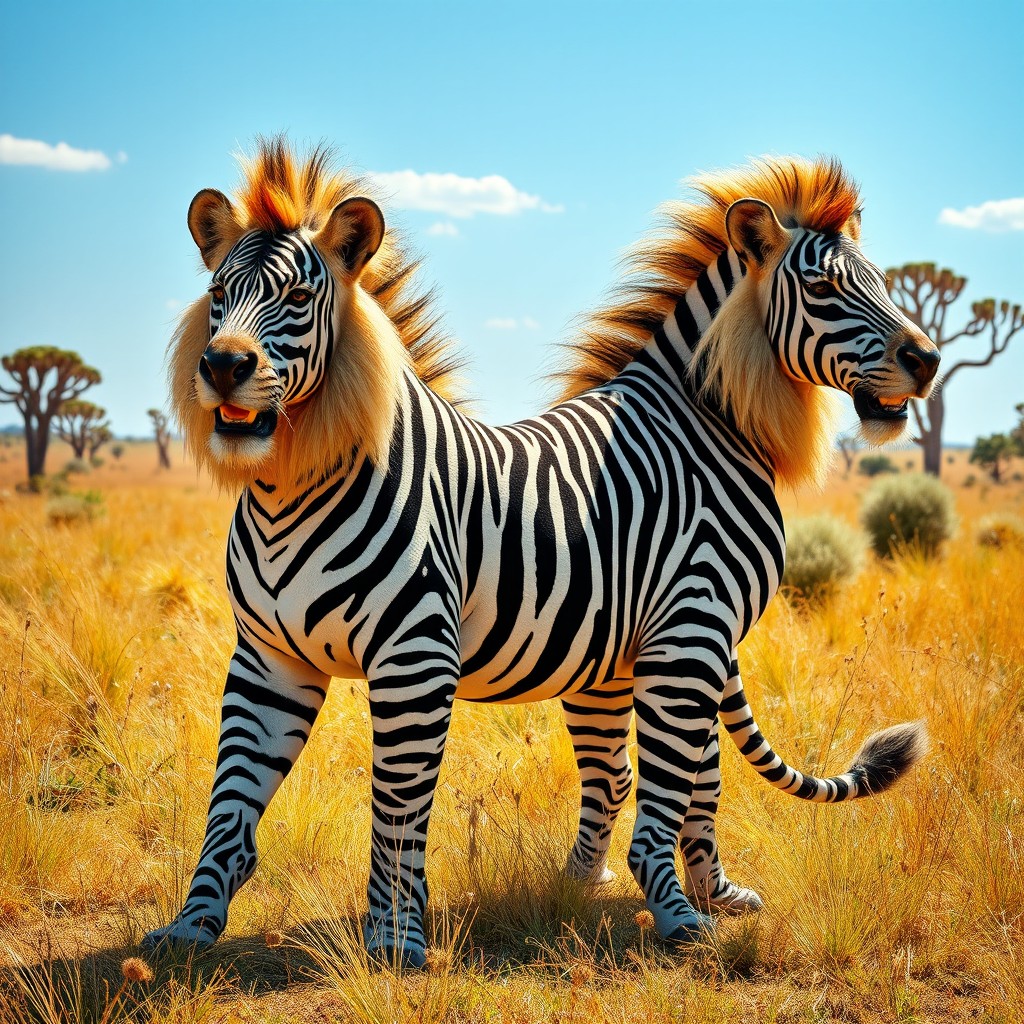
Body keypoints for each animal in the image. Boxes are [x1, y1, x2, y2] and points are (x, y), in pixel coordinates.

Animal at [144, 141, 936, 966]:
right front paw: (194, 927)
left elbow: (399, 812)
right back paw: (590, 889)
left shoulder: (441, 655)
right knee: (628, 776)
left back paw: (635, 893)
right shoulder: (274, 659)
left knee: (646, 778)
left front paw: (395, 939)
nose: (927, 359)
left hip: (633, 656)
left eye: (299, 296)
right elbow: (236, 806)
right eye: (217, 294)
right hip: (619, 663)